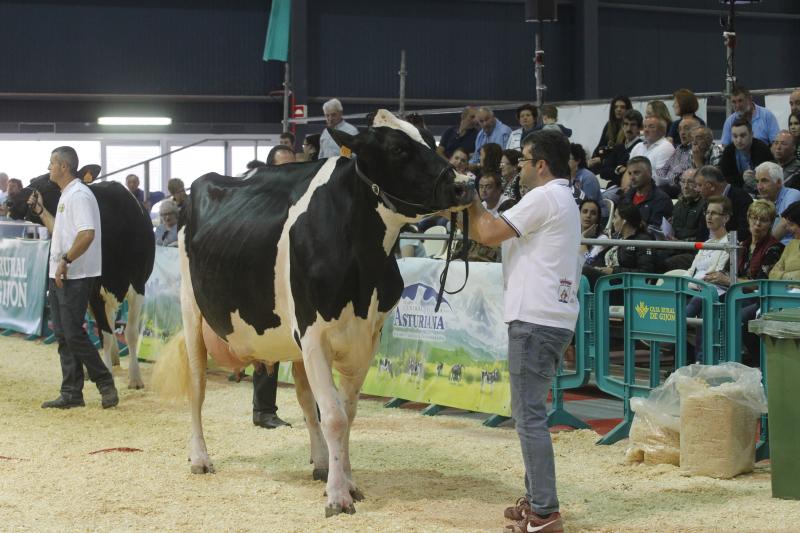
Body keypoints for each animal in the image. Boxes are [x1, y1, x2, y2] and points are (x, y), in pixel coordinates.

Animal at [153, 111, 472, 516]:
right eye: (398, 149)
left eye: (431, 141)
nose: (465, 184)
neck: (363, 264)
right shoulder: (314, 334)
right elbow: (334, 416)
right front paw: (338, 496)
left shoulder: (366, 337)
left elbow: (345, 413)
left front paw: (346, 481)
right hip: (192, 311)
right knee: (197, 387)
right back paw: (200, 458)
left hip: (292, 342)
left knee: (306, 401)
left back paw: (320, 462)